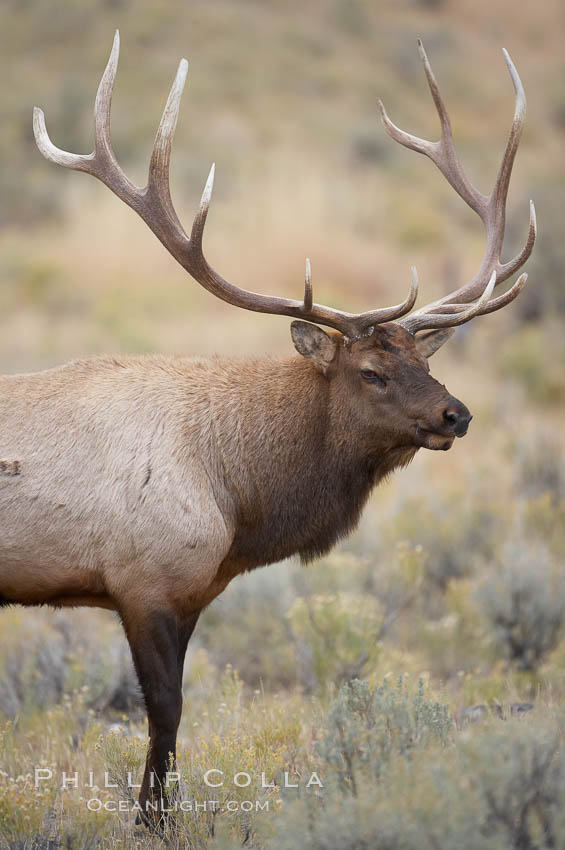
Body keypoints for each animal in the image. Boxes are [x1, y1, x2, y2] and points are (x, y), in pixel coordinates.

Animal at [2, 34, 536, 820]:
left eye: (423, 360)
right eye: (370, 372)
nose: (456, 414)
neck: (236, 501)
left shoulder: (192, 591)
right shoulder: (143, 579)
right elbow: (164, 712)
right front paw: (152, 819)